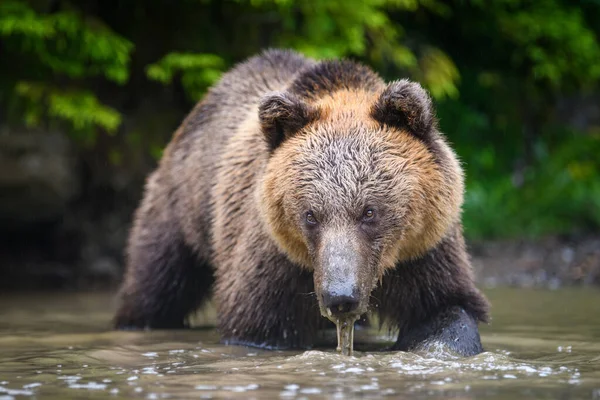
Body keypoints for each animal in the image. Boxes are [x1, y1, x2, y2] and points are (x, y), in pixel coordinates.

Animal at [115, 47, 490, 356]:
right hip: (181, 205)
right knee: (157, 280)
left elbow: (446, 307)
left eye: (369, 211)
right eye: (311, 215)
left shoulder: (423, 250)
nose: (340, 298)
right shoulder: (274, 258)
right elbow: (258, 323)